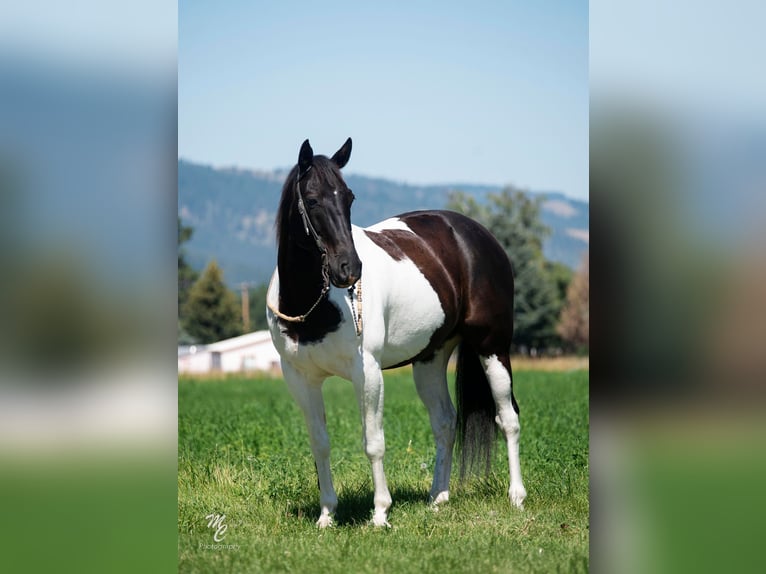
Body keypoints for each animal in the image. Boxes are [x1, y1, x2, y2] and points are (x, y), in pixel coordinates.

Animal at [266, 137, 528, 528]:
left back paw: (516, 496)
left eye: (349, 197)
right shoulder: (300, 377)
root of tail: (479, 235)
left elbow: (373, 441)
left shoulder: (367, 372)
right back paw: (439, 497)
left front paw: (380, 513)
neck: (312, 302)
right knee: (445, 422)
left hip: (492, 346)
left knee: (507, 418)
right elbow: (320, 443)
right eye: (311, 200)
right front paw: (327, 514)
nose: (349, 269)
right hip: (430, 358)